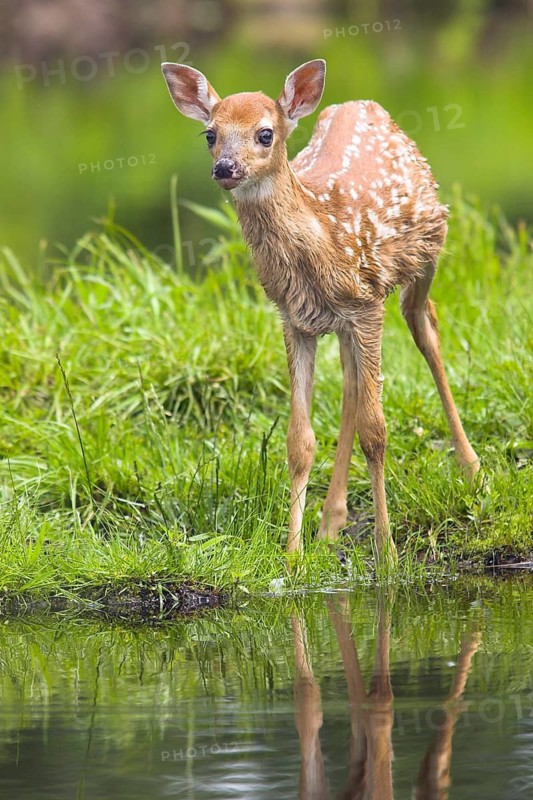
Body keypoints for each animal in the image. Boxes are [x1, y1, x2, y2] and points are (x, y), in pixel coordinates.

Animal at [161, 58, 480, 565]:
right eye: (210, 134)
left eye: (265, 133)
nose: (225, 168)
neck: (323, 235)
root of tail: (360, 103)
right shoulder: (295, 321)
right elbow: (300, 440)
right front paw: (292, 555)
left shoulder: (367, 304)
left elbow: (376, 431)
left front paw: (387, 553)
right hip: (348, 321)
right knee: (352, 382)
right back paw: (331, 522)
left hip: (428, 249)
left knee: (424, 325)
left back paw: (471, 468)